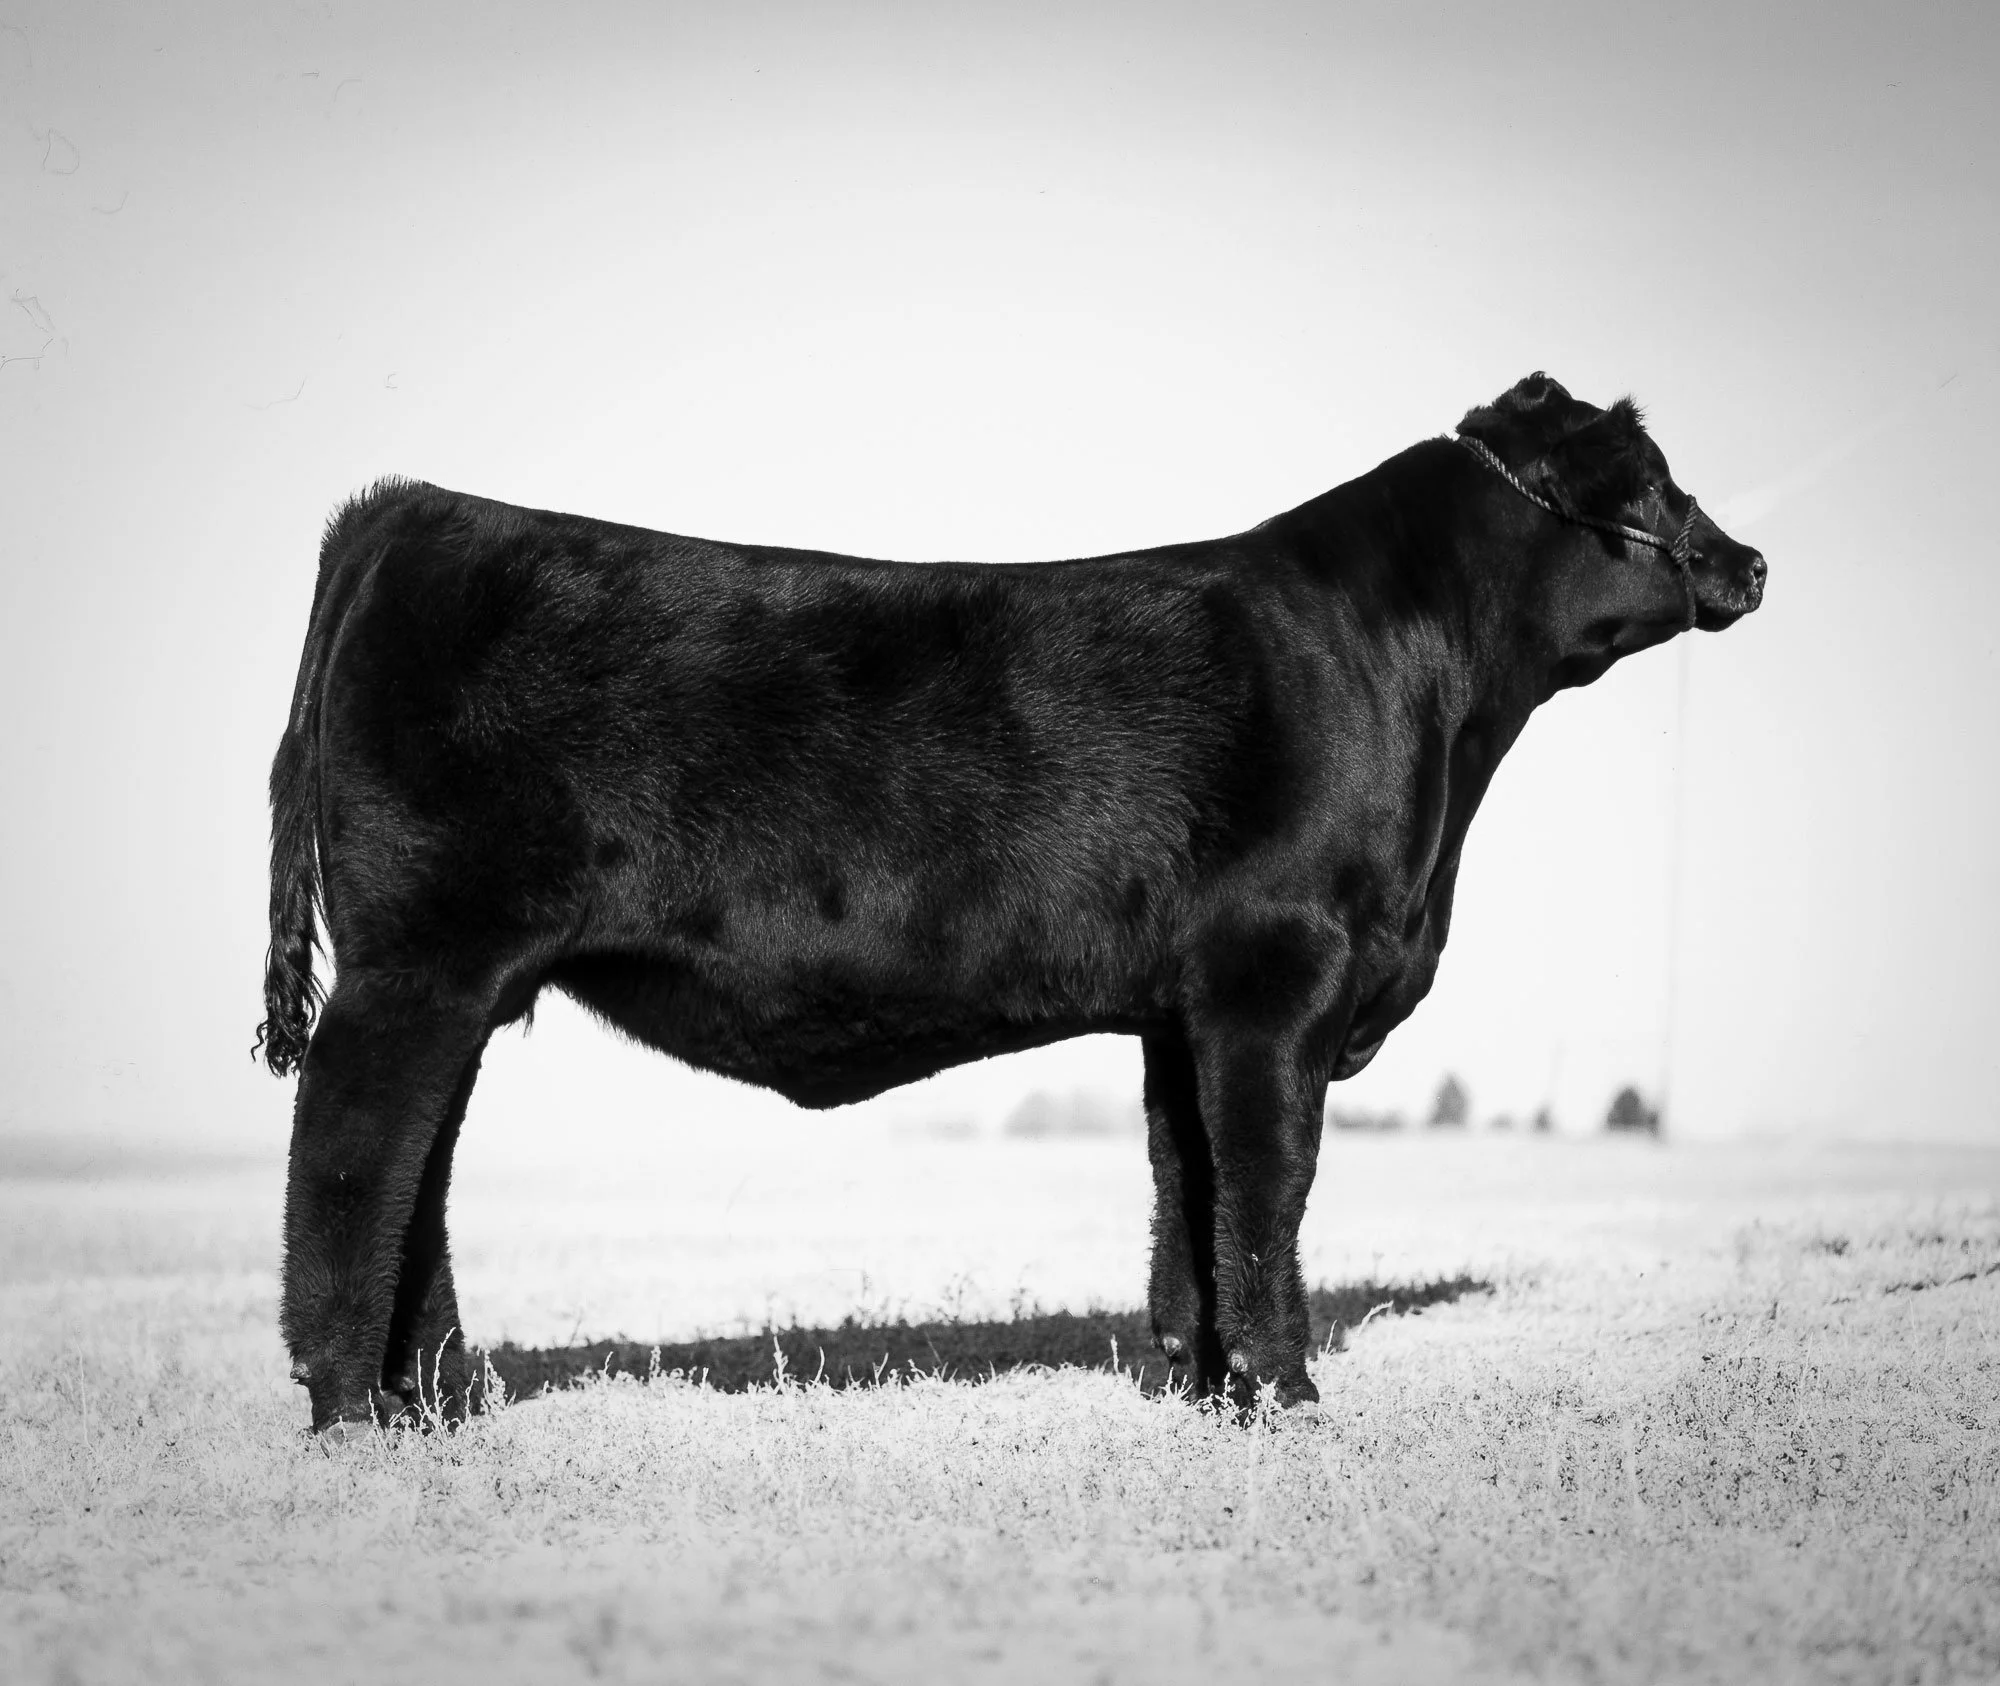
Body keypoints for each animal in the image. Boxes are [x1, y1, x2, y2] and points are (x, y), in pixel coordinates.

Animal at [258, 372, 1765, 1437]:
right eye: (1658, 483)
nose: (1751, 563)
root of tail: (412, 508)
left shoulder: (1184, 1002)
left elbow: (1188, 1187)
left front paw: (1204, 1388)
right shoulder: (1279, 969)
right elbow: (1269, 1184)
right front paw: (1287, 1394)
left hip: (458, 978)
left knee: (420, 1172)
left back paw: (436, 1400)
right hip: (416, 963)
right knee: (352, 1157)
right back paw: (351, 1412)